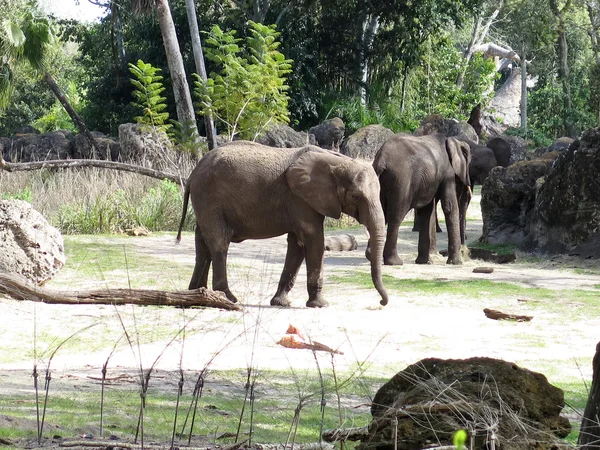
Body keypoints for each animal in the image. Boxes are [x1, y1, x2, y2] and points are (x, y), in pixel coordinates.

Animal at [175, 142, 390, 310]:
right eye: (356, 196)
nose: (381, 302)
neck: (338, 161)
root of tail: (193, 173)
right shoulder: (300, 199)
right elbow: (313, 239)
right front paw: (320, 305)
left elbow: (297, 244)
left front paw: (281, 303)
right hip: (209, 197)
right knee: (219, 244)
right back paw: (228, 299)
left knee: (202, 243)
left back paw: (196, 296)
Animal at [370, 134, 474, 268]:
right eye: (469, 161)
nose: (464, 250)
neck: (452, 140)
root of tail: (381, 160)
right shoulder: (447, 172)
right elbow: (449, 207)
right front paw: (456, 263)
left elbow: (426, 211)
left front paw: (425, 262)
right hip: (401, 182)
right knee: (395, 216)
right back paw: (394, 262)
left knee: (380, 214)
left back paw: (373, 257)